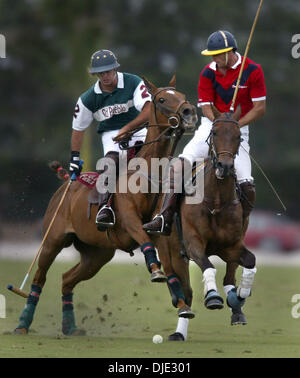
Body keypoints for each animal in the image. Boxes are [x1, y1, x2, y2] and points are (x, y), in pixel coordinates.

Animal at [14, 74, 198, 336]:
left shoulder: (160, 231)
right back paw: (23, 323)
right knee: (39, 277)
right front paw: (155, 271)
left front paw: (181, 304)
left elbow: (171, 269)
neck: (148, 174)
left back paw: (70, 326)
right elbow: (146, 244)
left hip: (97, 253)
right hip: (53, 240)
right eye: (162, 99)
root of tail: (67, 183)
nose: (189, 113)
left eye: (182, 95)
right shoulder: (130, 220)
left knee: (67, 278)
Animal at [179, 107, 256, 324]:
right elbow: (207, 265)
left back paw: (237, 310)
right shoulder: (192, 242)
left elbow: (250, 261)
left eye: (239, 136)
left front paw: (239, 296)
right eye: (214, 132)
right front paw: (213, 296)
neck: (216, 202)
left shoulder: (231, 246)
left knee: (229, 276)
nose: (225, 166)